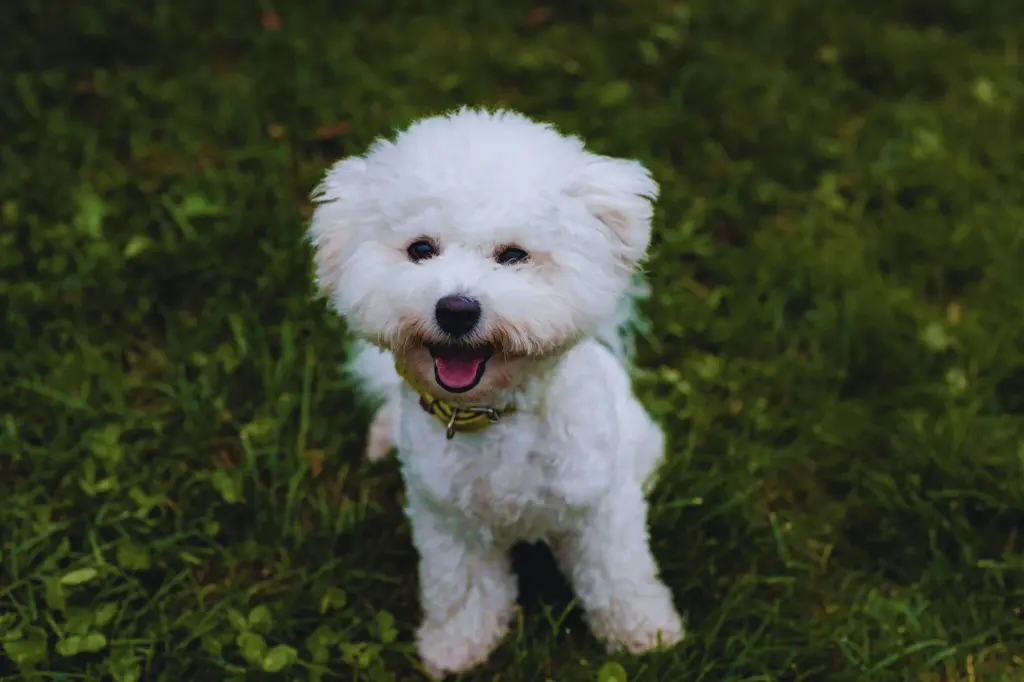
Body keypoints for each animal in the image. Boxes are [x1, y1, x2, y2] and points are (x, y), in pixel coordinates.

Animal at [307, 107, 684, 675]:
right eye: (421, 249)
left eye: (513, 255)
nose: (456, 310)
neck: (492, 413)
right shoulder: (448, 524)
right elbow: (462, 589)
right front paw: (456, 647)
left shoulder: (601, 511)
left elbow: (619, 577)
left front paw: (645, 633)